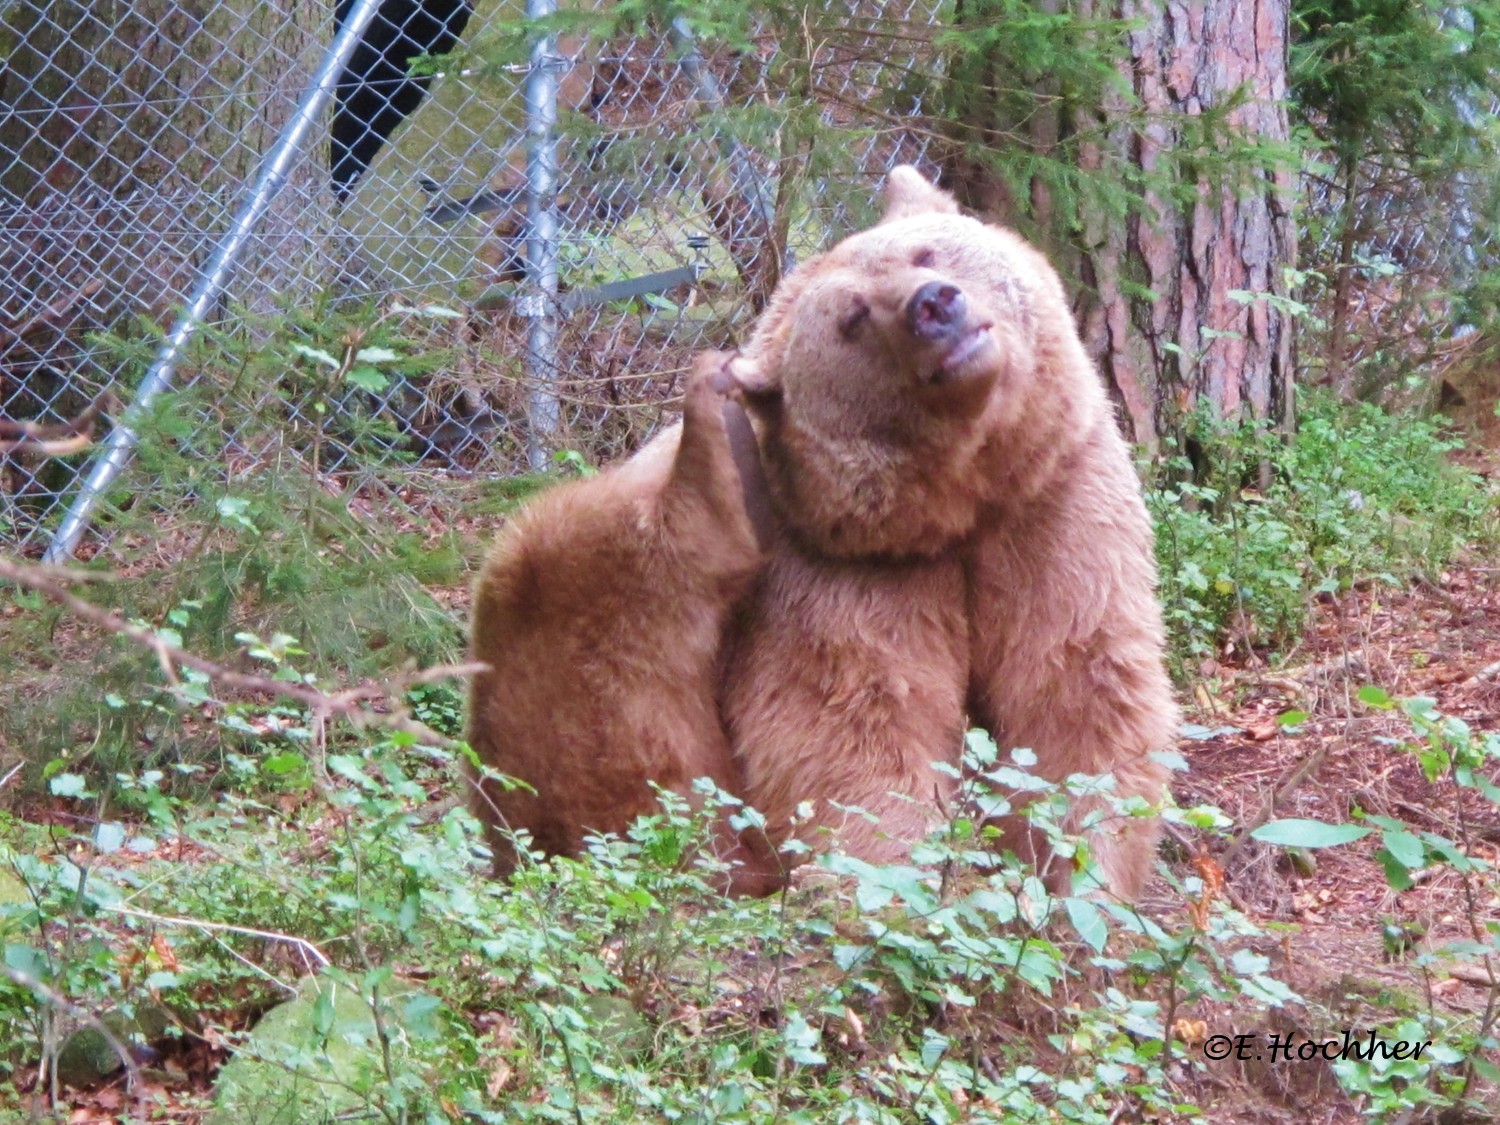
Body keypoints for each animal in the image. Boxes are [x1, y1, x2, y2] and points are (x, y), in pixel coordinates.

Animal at [720, 165, 1176, 900]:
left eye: (926, 252)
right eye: (853, 317)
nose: (934, 304)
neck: (963, 505)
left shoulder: (1056, 506)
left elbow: (1081, 690)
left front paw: (1083, 882)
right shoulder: (841, 572)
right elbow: (852, 731)